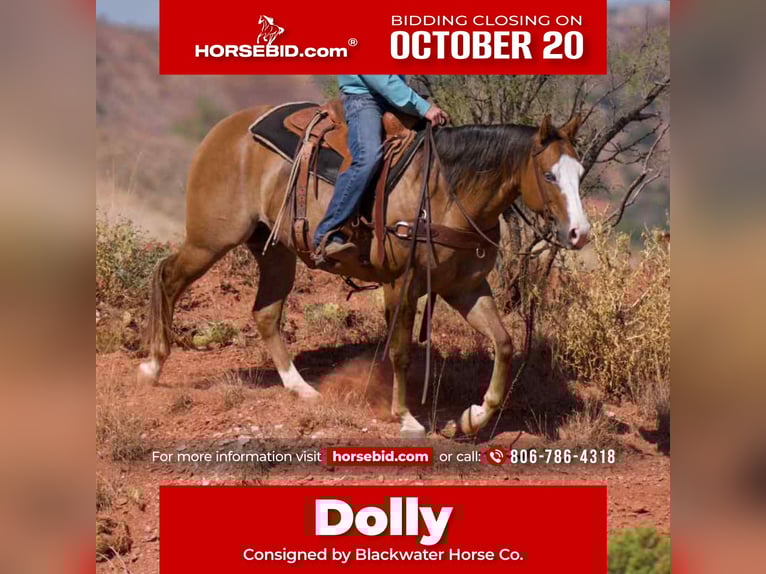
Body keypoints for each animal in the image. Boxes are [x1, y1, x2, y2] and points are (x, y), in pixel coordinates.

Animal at [137, 106, 590, 439]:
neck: (446, 193)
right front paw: (406, 417)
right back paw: (153, 366)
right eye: (549, 174)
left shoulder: (466, 288)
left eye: (581, 173)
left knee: (265, 314)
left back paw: (301, 388)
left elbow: (504, 344)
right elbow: (401, 351)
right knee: (166, 276)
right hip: (210, 240)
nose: (579, 233)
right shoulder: (401, 284)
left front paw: (469, 419)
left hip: (275, 251)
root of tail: (223, 131)